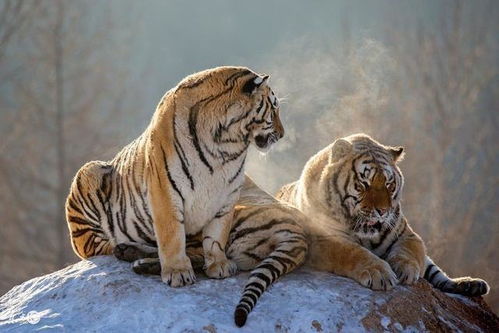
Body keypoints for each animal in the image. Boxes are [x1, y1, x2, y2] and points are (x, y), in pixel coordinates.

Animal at [65, 66, 286, 286]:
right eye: (273, 109)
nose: (282, 134)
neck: (227, 146)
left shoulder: (227, 195)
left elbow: (216, 235)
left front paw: (219, 265)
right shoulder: (165, 191)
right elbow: (172, 236)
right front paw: (178, 273)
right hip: (88, 177)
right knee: (102, 247)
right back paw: (126, 250)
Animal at [278, 132, 492, 296]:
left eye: (389, 184)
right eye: (364, 184)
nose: (382, 211)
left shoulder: (408, 234)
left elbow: (408, 251)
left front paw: (405, 269)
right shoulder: (323, 239)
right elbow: (352, 251)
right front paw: (379, 273)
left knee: (437, 272)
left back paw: (471, 284)